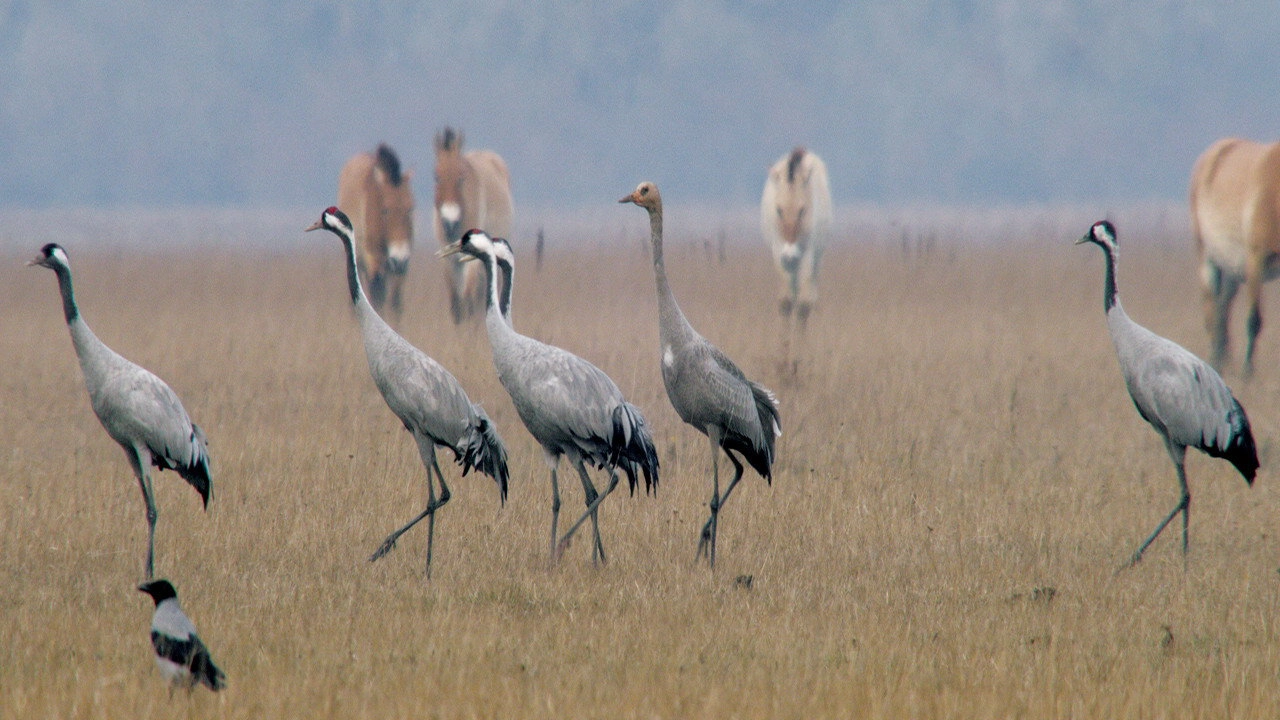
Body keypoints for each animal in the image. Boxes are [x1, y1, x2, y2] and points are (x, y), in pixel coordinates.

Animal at [337, 144, 415, 321]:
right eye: (385, 210)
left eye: (410, 209)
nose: (399, 259)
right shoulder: (374, 261)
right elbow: (377, 298)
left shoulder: (402, 267)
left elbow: (396, 302)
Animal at [433, 127, 514, 323]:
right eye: (436, 176)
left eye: (461, 178)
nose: (449, 222)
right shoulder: (447, 257)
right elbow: (455, 303)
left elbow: (469, 296)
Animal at [761, 147, 832, 329]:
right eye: (779, 210)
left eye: (802, 210)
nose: (790, 255)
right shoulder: (778, 252)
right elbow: (786, 302)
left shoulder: (808, 254)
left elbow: (803, 305)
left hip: (815, 259)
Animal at [1190, 137, 1280, 377]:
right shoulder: (1255, 262)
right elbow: (1254, 319)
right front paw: (1248, 372)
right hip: (1208, 260)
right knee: (1211, 308)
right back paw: (1216, 361)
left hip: (1231, 268)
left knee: (1224, 307)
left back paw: (1223, 357)